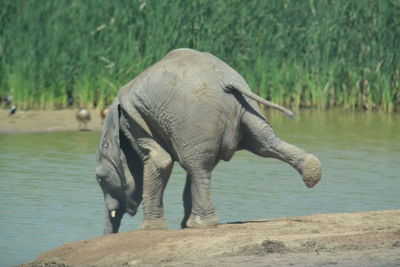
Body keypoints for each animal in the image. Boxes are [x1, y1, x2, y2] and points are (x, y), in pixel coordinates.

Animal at [94, 48, 322, 234]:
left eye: (99, 179)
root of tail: (225, 80)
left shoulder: (134, 119)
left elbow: (160, 161)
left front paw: (148, 230)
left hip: (194, 116)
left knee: (197, 166)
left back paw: (200, 225)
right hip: (242, 109)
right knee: (262, 144)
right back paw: (312, 171)